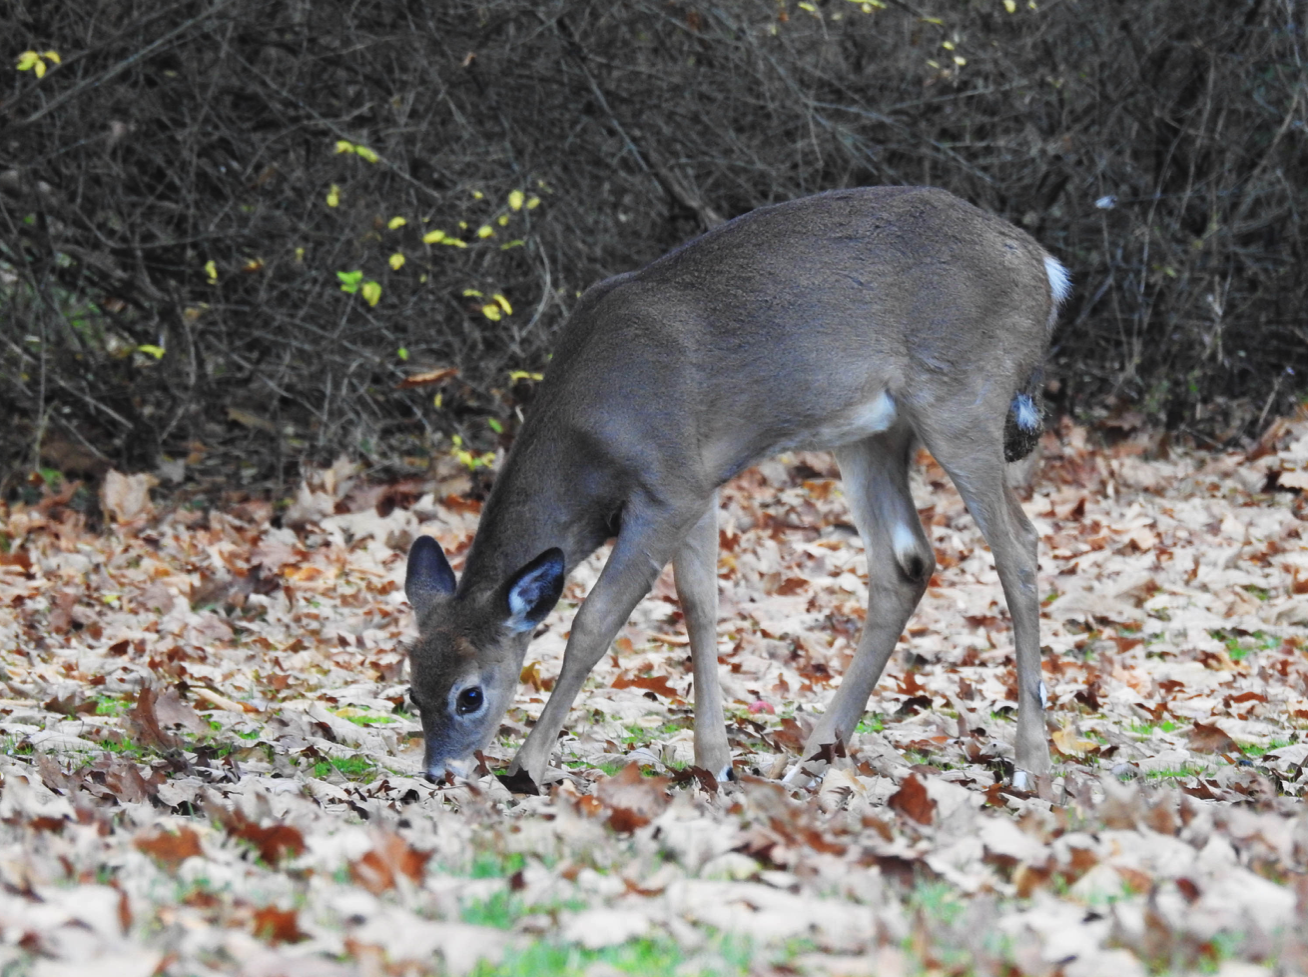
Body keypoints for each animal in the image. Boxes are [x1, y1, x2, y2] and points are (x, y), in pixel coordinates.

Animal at [404, 186, 1070, 795]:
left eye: (469, 695)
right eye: (411, 686)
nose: (438, 772)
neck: (586, 433)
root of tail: (1046, 268)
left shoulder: (667, 486)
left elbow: (593, 623)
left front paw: (526, 768)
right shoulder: (697, 486)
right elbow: (700, 605)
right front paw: (716, 763)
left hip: (964, 398)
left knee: (1019, 546)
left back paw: (1030, 765)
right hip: (872, 431)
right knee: (905, 562)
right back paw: (814, 758)